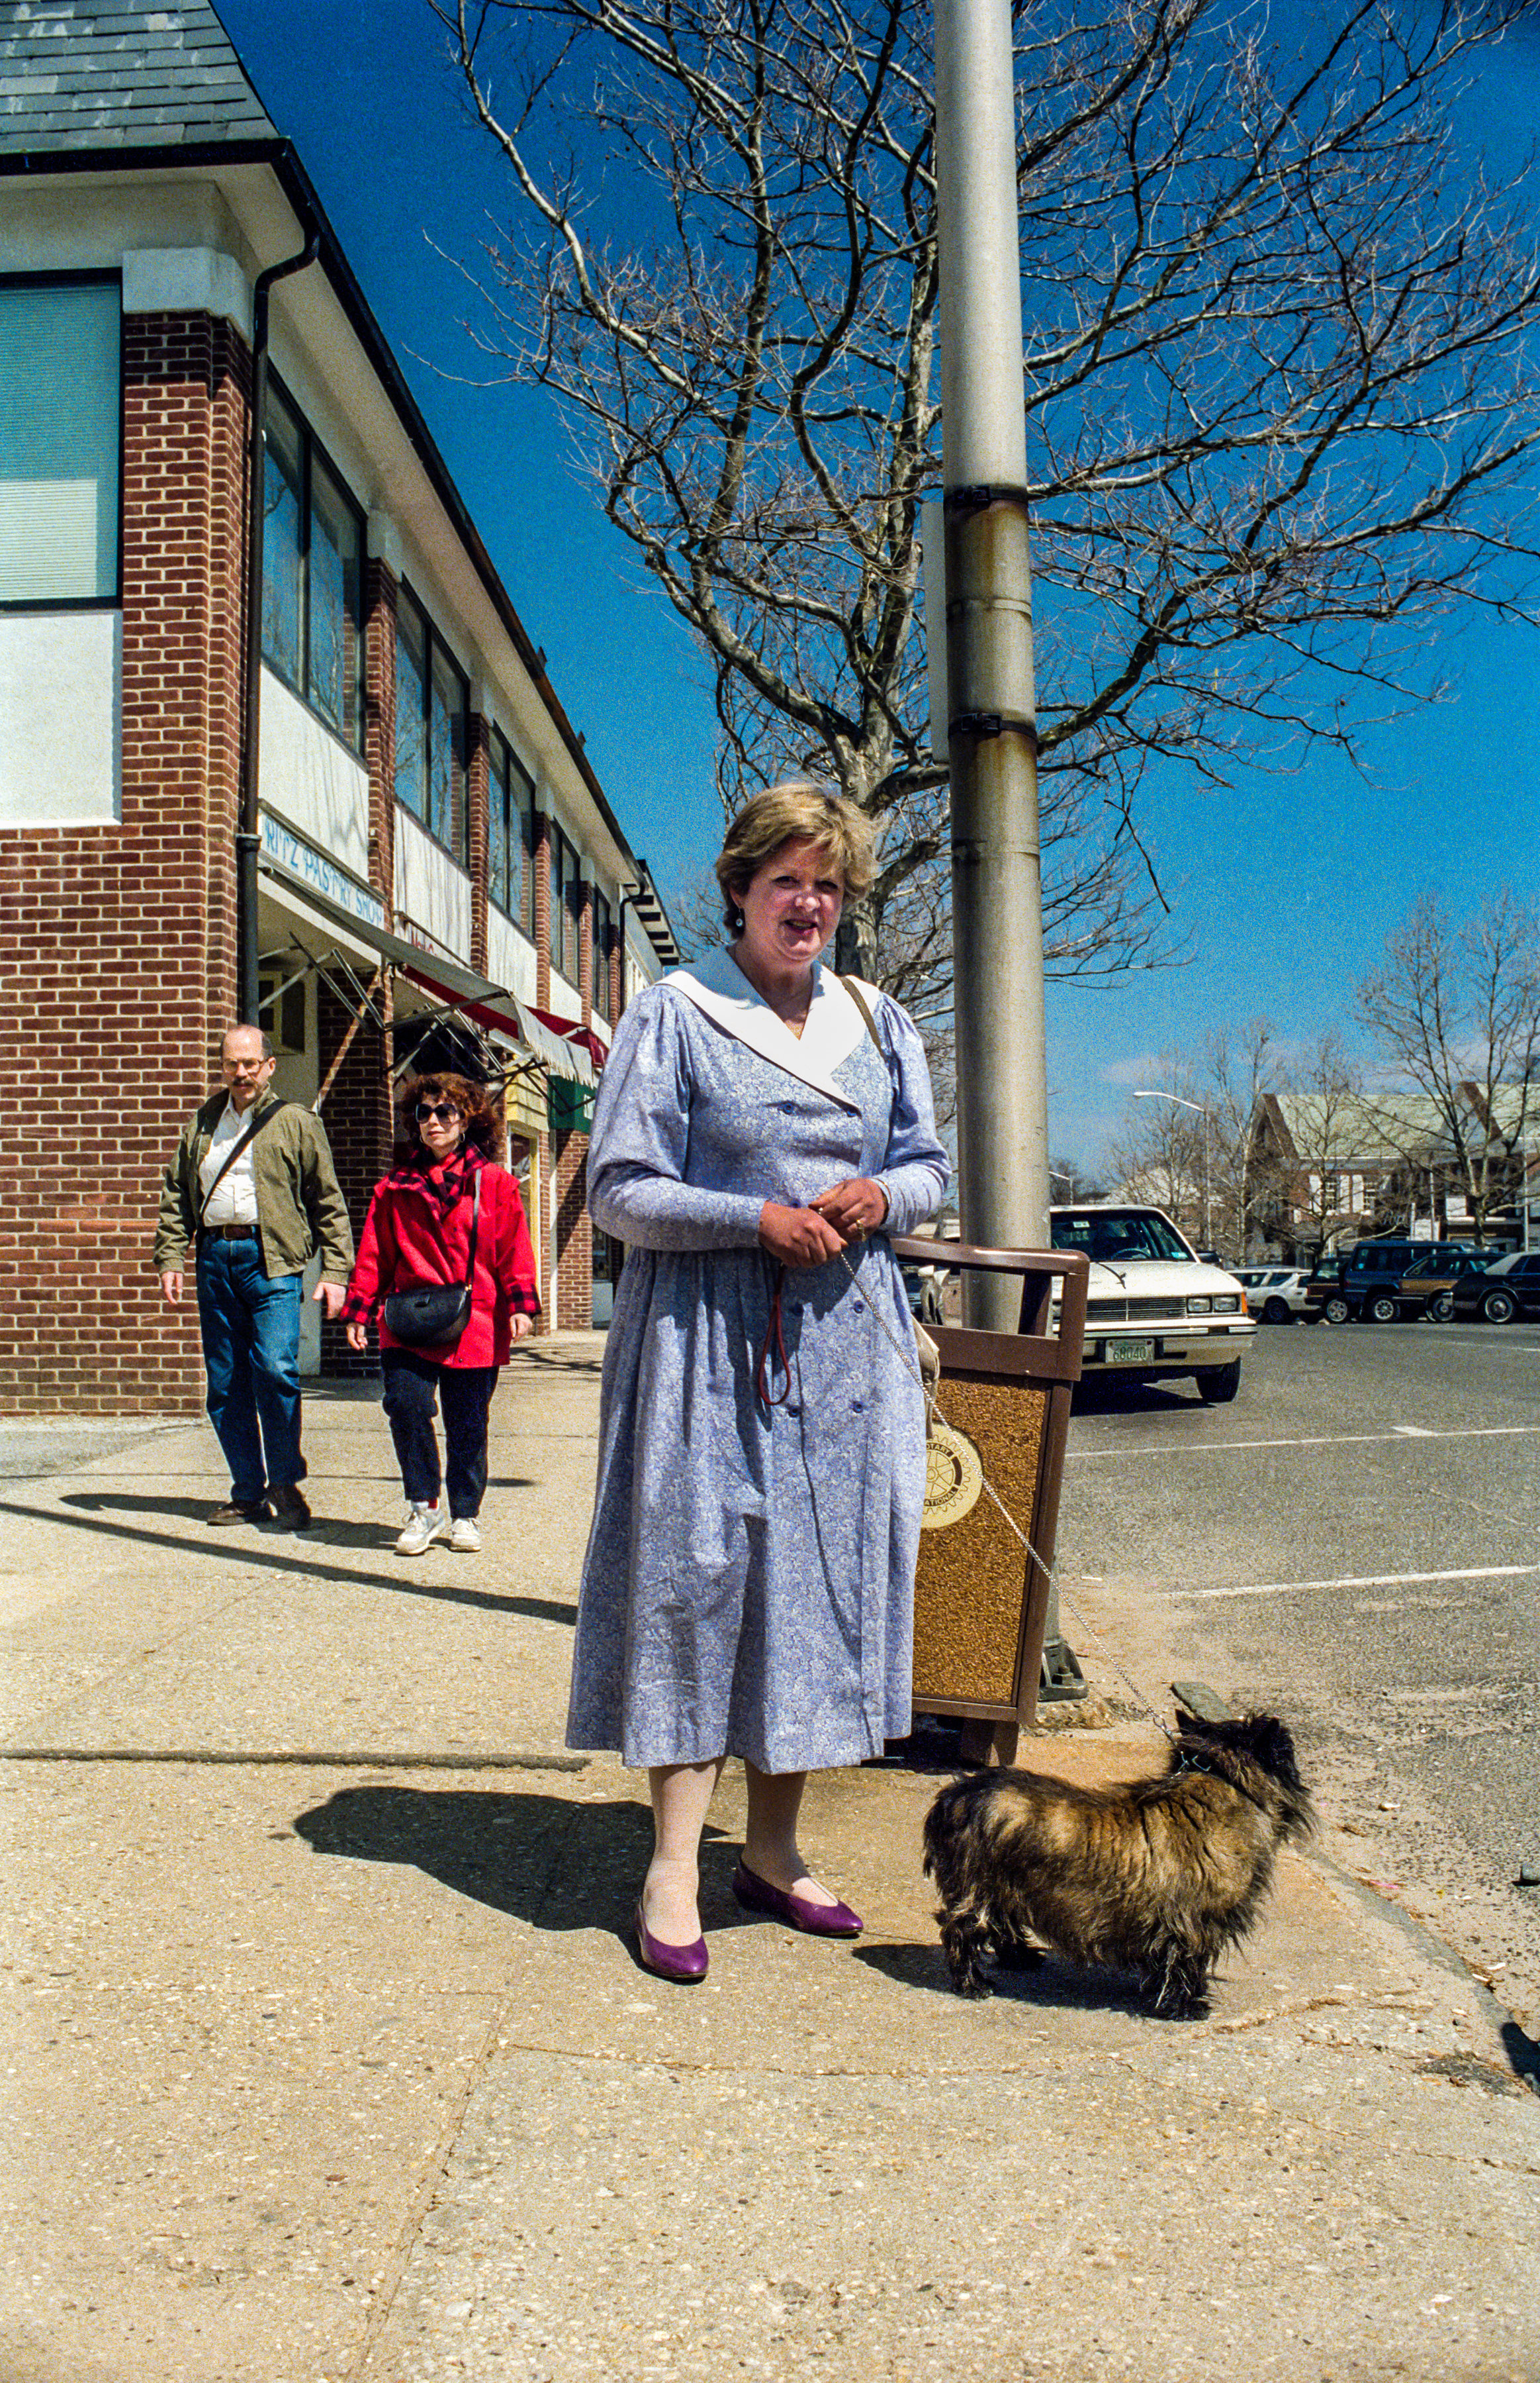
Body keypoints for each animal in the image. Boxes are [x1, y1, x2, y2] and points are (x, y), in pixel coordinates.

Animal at [925, 1716, 1325, 2011]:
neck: (1218, 1781)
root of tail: (955, 1796)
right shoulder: (1194, 1920)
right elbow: (1186, 1961)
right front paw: (1187, 2005)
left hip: (1006, 1888)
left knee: (1001, 1925)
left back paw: (1021, 1957)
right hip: (982, 1887)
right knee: (961, 1931)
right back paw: (973, 1984)